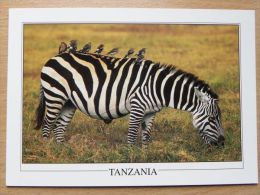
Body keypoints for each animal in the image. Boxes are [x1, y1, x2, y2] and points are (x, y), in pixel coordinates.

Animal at [34, 51, 224, 146]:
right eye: (212, 119)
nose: (222, 143)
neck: (157, 87)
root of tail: (53, 57)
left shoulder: (151, 112)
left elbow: (146, 136)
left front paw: (146, 155)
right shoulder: (137, 106)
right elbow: (132, 135)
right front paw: (131, 155)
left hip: (68, 102)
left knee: (59, 127)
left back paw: (63, 153)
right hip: (55, 96)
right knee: (47, 125)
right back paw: (48, 153)